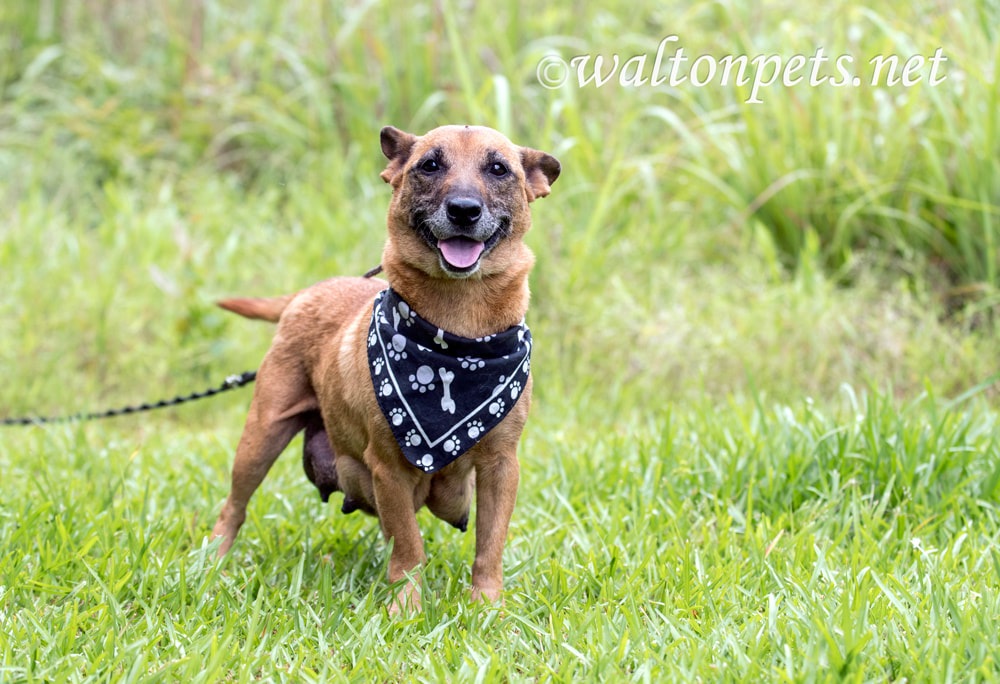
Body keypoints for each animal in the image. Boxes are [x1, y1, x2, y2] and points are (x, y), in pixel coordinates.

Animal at [210, 124, 560, 616]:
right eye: (429, 165)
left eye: (498, 168)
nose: (464, 210)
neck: (458, 331)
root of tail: (307, 292)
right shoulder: (389, 469)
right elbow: (409, 546)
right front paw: (405, 611)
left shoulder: (501, 466)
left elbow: (489, 547)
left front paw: (488, 608)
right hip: (261, 437)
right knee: (234, 507)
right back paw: (210, 563)